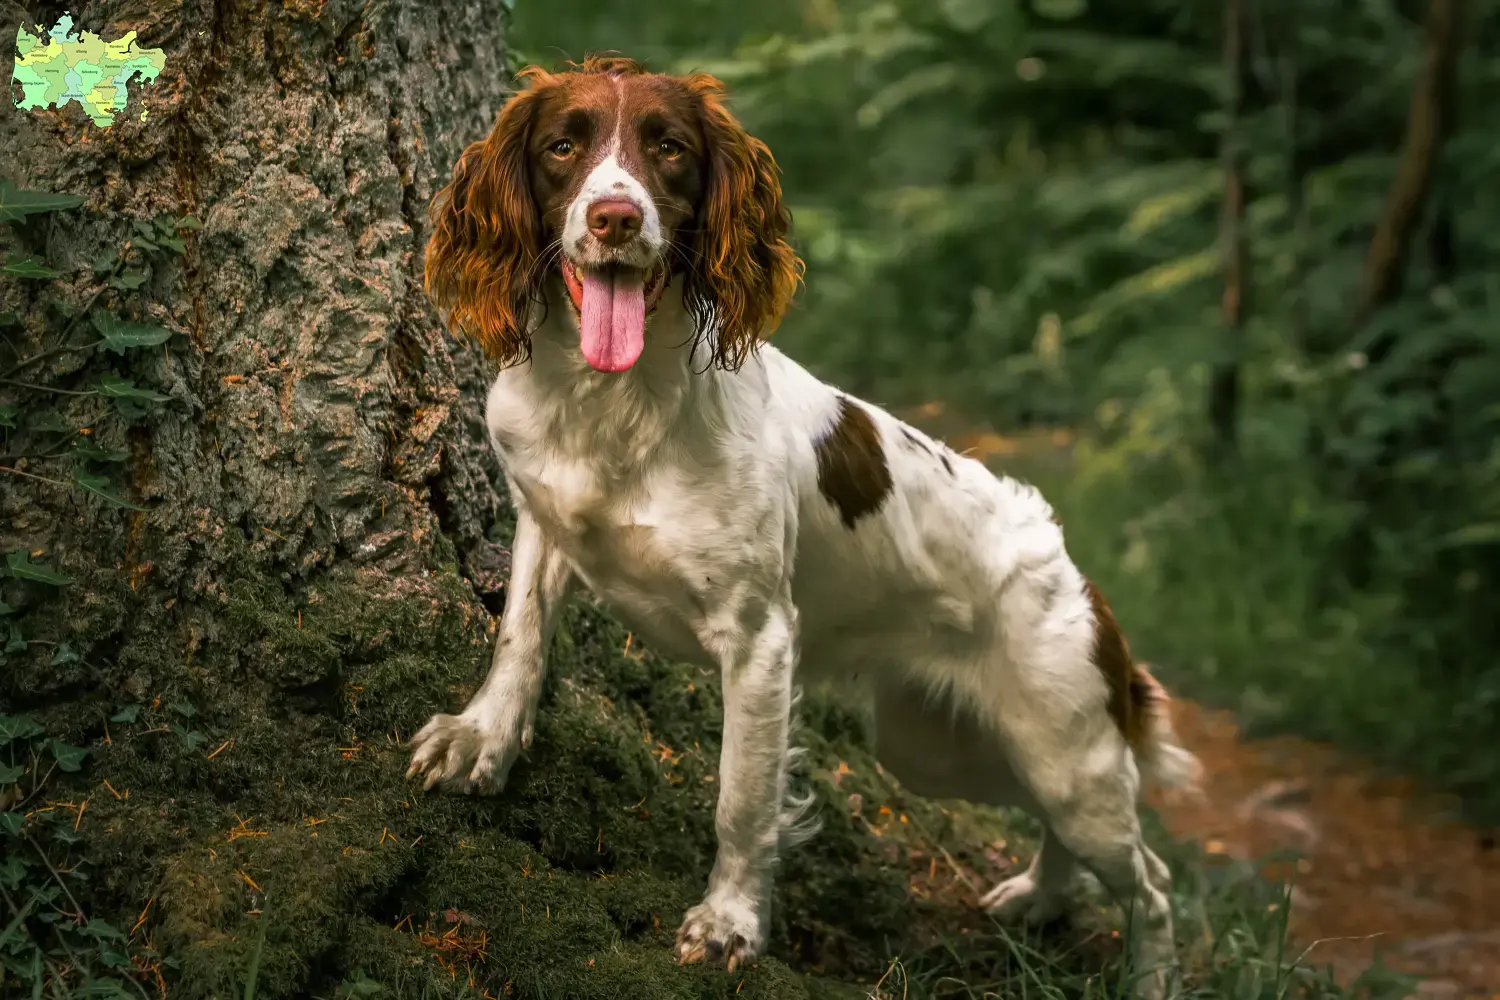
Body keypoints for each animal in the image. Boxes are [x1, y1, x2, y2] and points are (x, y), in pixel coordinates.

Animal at [405, 56, 1200, 1000]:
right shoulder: (543, 521)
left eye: (669, 150)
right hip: (946, 749)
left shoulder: (759, 641)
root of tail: (1074, 569)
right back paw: (1037, 898)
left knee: (1152, 885)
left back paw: (1148, 975)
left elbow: (741, 800)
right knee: (1063, 839)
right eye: (563, 146)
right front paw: (480, 742)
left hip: (1064, 750)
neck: (616, 402)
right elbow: (518, 641)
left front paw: (731, 924)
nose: (615, 217)